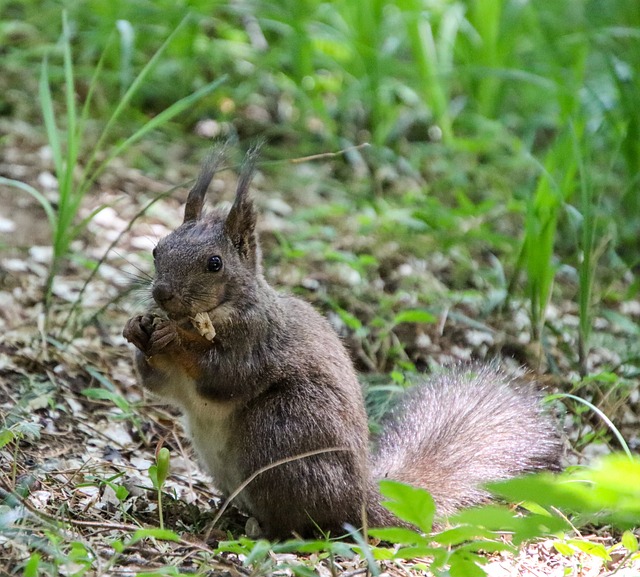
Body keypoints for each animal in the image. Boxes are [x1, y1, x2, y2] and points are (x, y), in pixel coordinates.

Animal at [124, 145, 560, 540]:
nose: (161, 294)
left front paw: (174, 339)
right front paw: (138, 328)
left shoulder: (257, 339)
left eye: (214, 263)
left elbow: (223, 377)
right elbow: (159, 384)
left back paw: (259, 529)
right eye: (157, 249)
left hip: (281, 429)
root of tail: (362, 501)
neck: (217, 313)